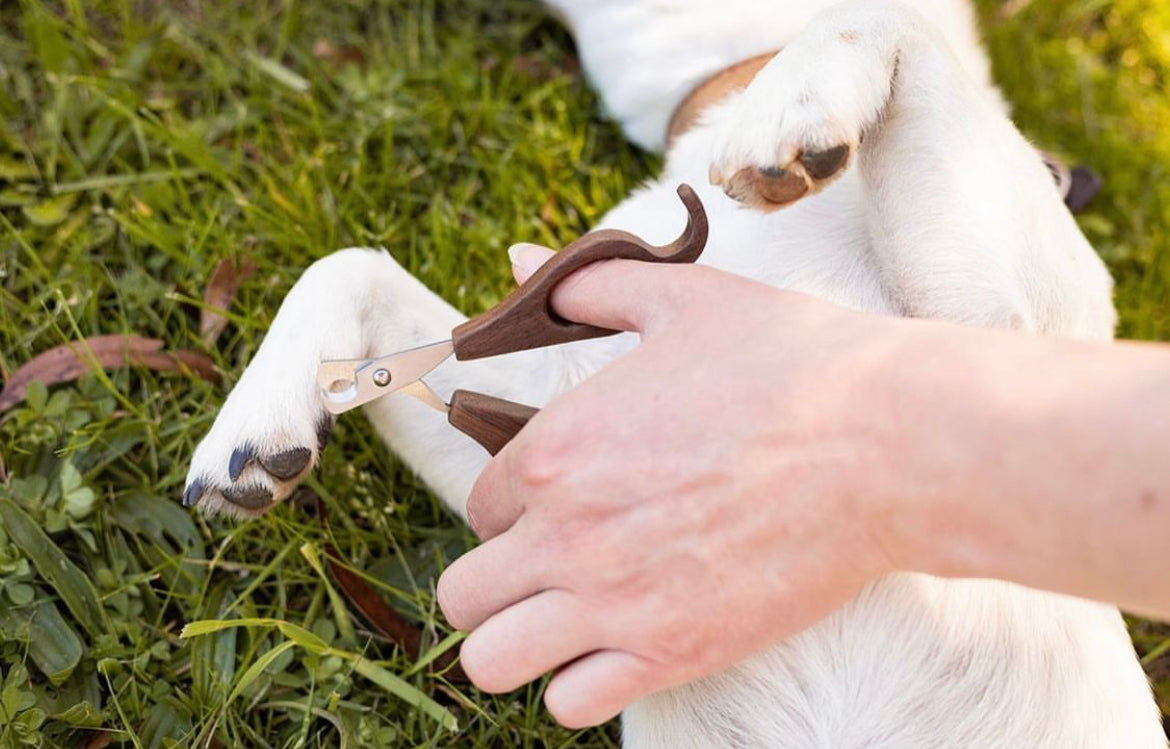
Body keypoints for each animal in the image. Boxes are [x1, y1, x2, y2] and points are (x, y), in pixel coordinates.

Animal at [182, 2, 1160, 744]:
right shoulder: (543, 421)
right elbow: (347, 264)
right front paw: (257, 423)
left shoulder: (995, 329)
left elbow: (883, 15)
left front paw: (789, 114)